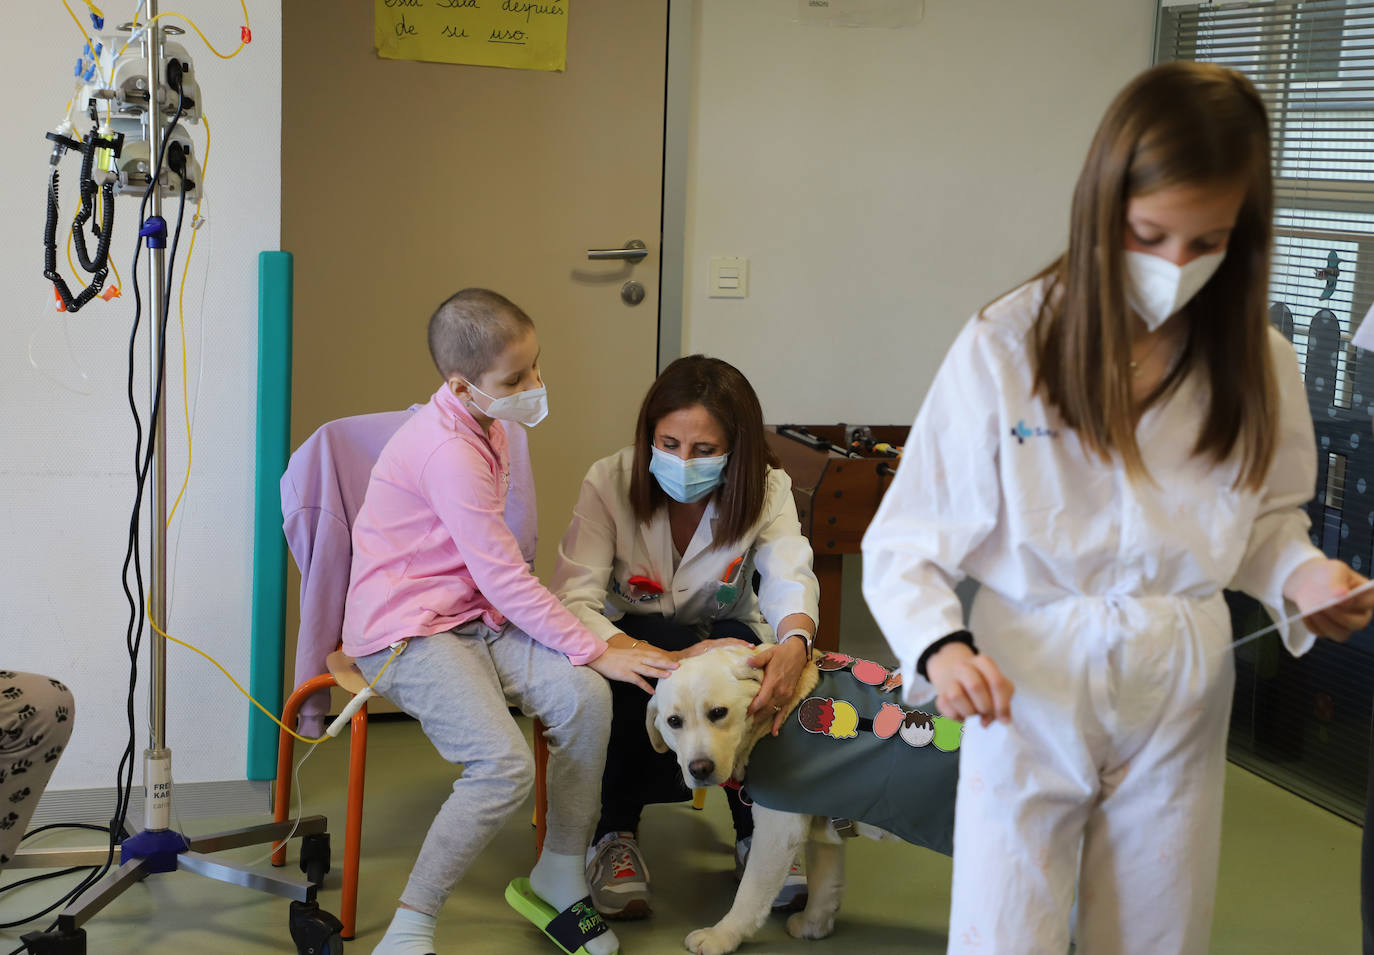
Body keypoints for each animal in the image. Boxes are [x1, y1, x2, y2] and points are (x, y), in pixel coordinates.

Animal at [640, 643, 890, 955]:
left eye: (718, 712)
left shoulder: (778, 830)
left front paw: (722, 935)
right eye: (674, 722)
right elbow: (824, 884)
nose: (699, 769)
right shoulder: (823, 827)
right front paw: (813, 926)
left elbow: (749, 893)